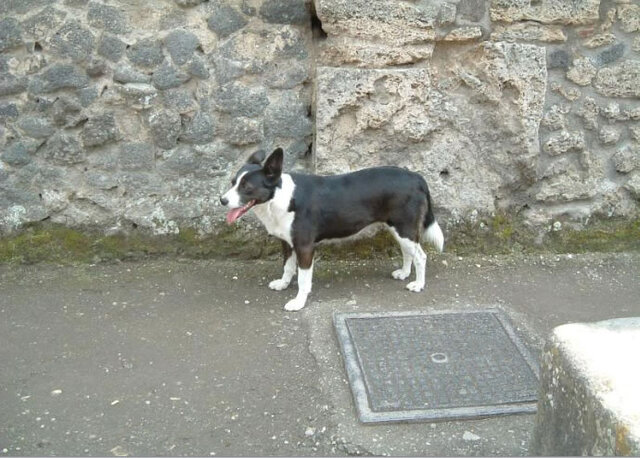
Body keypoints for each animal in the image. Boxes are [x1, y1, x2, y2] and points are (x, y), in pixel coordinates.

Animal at [220, 147, 444, 312]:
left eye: (247, 187)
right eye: (233, 183)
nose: (222, 200)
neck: (279, 197)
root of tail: (416, 177)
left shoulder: (304, 247)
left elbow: (303, 279)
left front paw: (298, 302)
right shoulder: (287, 242)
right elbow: (288, 267)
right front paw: (283, 283)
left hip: (404, 228)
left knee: (421, 256)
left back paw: (418, 284)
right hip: (398, 229)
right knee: (408, 252)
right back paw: (405, 273)